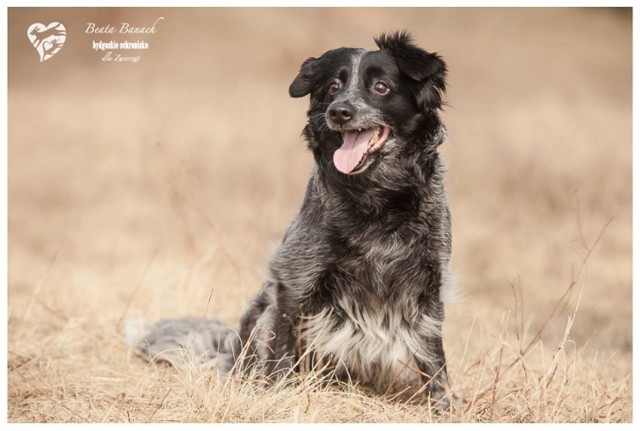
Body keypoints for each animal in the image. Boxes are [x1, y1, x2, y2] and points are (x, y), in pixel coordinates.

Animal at [130, 31, 458, 412]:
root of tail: (231, 354)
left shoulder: (430, 282)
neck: (377, 197)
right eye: (333, 87)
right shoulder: (295, 278)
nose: (339, 111)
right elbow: (282, 351)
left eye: (380, 87)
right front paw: (276, 397)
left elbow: (433, 356)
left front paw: (446, 407)